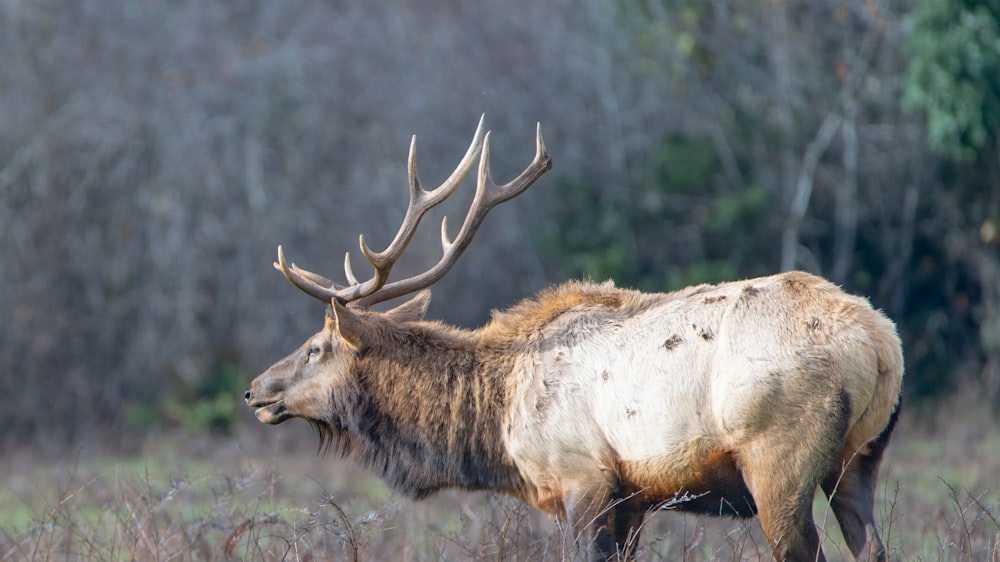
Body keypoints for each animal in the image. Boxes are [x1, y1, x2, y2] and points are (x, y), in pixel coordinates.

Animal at [246, 116, 904, 556]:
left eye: (315, 348)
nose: (255, 390)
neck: (497, 426)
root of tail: (879, 344)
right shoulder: (634, 501)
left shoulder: (584, 478)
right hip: (859, 458)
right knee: (872, 545)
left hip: (778, 459)